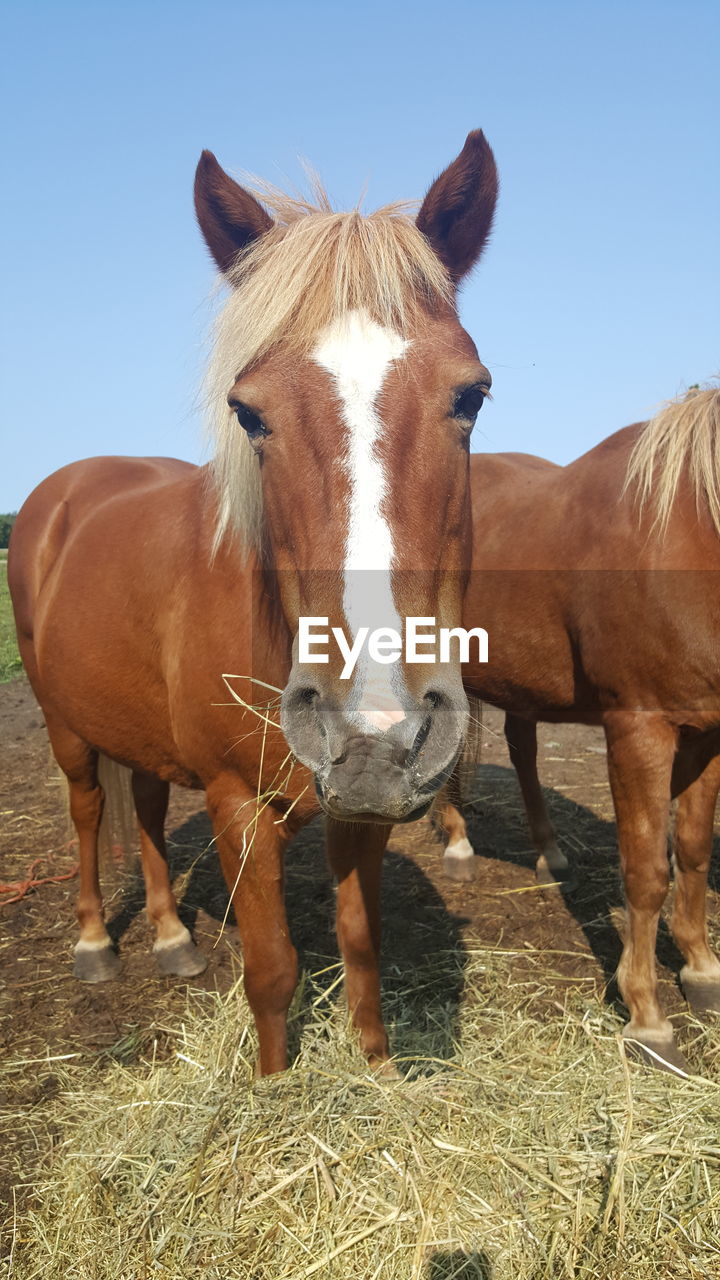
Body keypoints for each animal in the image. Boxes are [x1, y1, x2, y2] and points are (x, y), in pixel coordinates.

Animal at [8, 132, 497, 1070]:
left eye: (470, 395)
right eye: (248, 412)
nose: (373, 725)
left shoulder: (363, 806)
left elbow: (360, 948)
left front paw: (375, 1072)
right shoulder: (238, 806)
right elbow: (272, 970)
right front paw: (274, 1083)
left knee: (147, 810)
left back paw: (171, 937)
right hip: (67, 728)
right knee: (90, 813)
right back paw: (95, 944)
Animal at [438, 386, 717, 1070]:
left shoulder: (709, 733)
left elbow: (693, 850)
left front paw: (701, 967)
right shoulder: (639, 729)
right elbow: (646, 870)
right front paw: (646, 1016)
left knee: (522, 752)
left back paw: (549, 853)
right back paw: (458, 845)